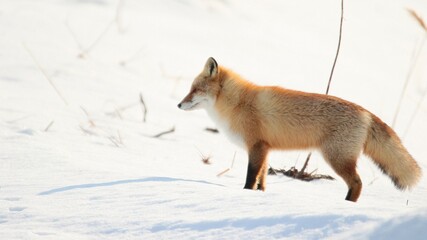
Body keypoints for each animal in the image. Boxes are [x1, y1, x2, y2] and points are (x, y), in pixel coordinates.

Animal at [177, 57, 422, 202]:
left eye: (195, 90)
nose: (178, 105)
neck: (238, 104)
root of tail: (366, 112)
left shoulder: (256, 146)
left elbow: (250, 178)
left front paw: (245, 195)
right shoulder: (265, 149)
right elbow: (262, 180)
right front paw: (260, 198)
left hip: (336, 158)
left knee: (357, 183)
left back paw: (346, 205)